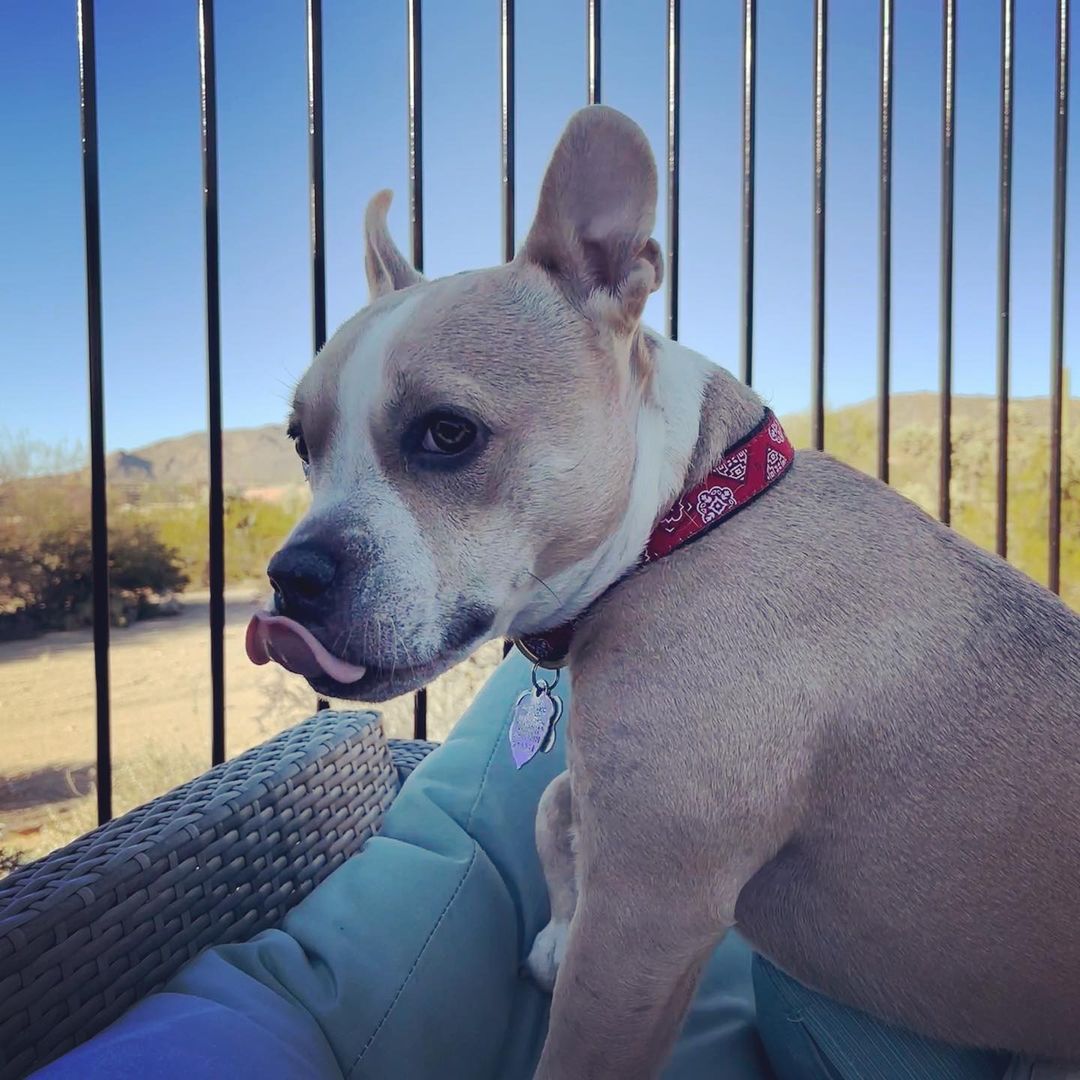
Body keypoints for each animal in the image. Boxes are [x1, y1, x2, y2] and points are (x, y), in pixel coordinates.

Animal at [247, 103, 1080, 1080]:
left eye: (447, 434)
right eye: (302, 444)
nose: (292, 574)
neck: (685, 519)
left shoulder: (646, 919)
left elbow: (576, 1041)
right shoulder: (622, 805)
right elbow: (558, 802)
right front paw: (556, 927)